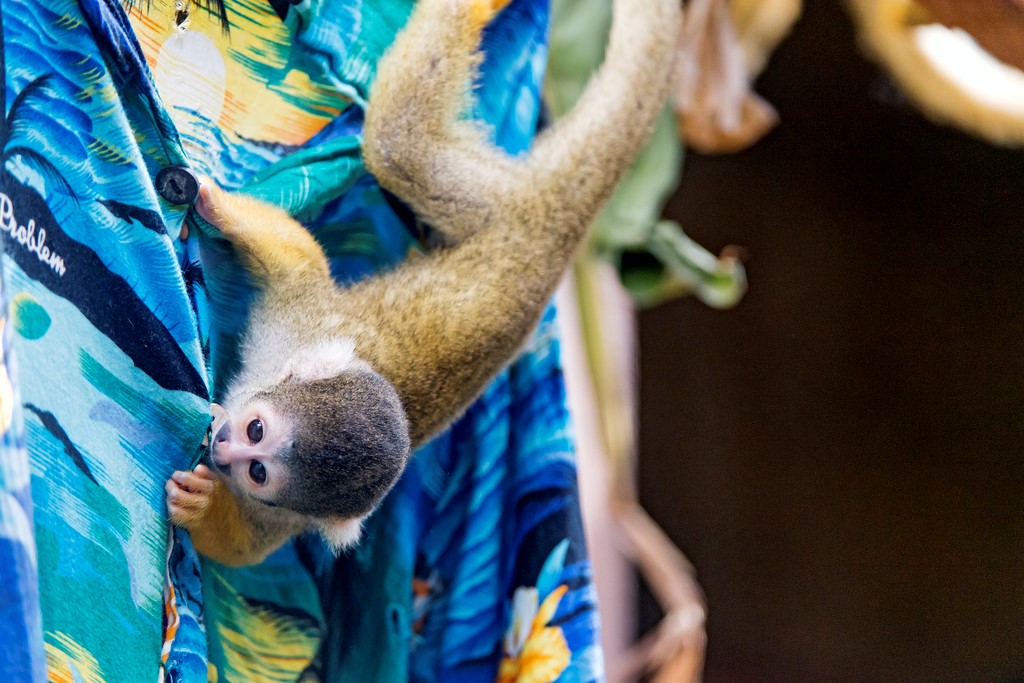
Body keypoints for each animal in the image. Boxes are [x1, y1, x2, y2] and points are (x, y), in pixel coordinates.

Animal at [165, 0, 681, 567]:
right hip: (494, 205)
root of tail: (560, 232)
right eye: (256, 428)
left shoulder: (285, 516)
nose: (224, 444)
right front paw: (215, 204)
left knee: (397, 145)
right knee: (398, 144)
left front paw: (200, 506)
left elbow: (241, 551)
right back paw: (476, 10)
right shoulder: (296, 324)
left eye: (257, 467)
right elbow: (299, 264)